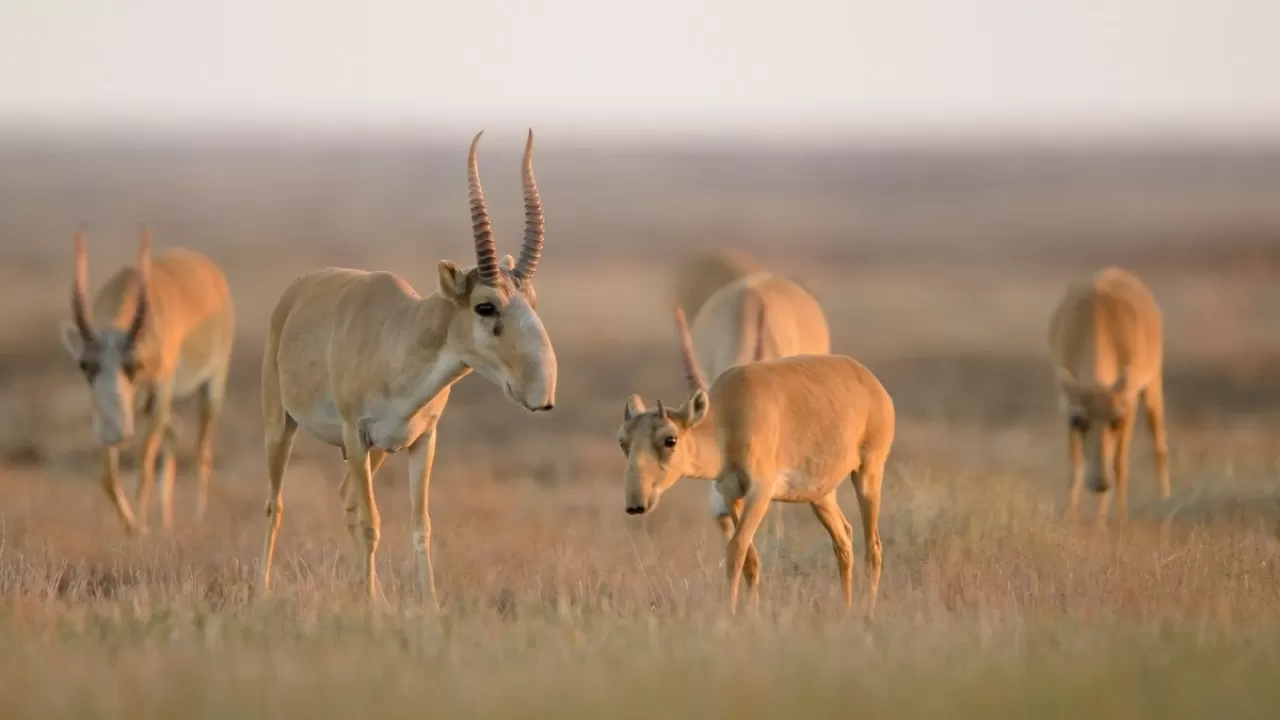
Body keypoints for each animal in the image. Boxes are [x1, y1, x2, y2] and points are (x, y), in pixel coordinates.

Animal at [58, 228, 238, 532]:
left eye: (135, 364)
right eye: (85, 365)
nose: (116, 433)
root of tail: (210, 271)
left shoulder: (160, 393)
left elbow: (144, 469)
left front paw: (142, 529)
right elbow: (108, 478)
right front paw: (132, 528)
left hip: (211, 385)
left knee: (202, 450)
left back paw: (197, 519)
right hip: (146, 405)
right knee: (175, 432)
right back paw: (167, 522)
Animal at [257, 128, 558, 599]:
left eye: (532, 299)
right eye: (485, 305)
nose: (542, 392)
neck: (398, 338)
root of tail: (296, 292)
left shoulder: (422, 441)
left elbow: (420, 526)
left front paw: (426, 604)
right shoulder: (357, 435)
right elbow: (371, 523)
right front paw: (372, 605)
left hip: (375, 452)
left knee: (345, 497)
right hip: (283, 426)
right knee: (276, 504)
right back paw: (262, 591)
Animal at [616, 301, 896, 609]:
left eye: (670, 439)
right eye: (623, 441)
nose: (636, 504)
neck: (727, 417)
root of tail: (871, 382)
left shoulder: (760, 492)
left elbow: (736, 550)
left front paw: (731, 611)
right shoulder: (731, 494)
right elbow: (750, 559)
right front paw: (751, 611)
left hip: (868, 472)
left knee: (873, 548)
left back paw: (867, 611)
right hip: (820, 494)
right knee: (844, 540)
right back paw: (846, 609)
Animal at [1049, 263, 1172, 520]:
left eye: (1117, 420)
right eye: (1078, 420)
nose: (1100, 483)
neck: (1097, 318)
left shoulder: (1129, 402)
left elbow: (1119, 464)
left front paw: (1119, 519)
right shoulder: (1067, 403)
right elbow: (1075, 465)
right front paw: (1070, 519)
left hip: (1153, 385)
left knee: (1159, 446)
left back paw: (1164, 501)